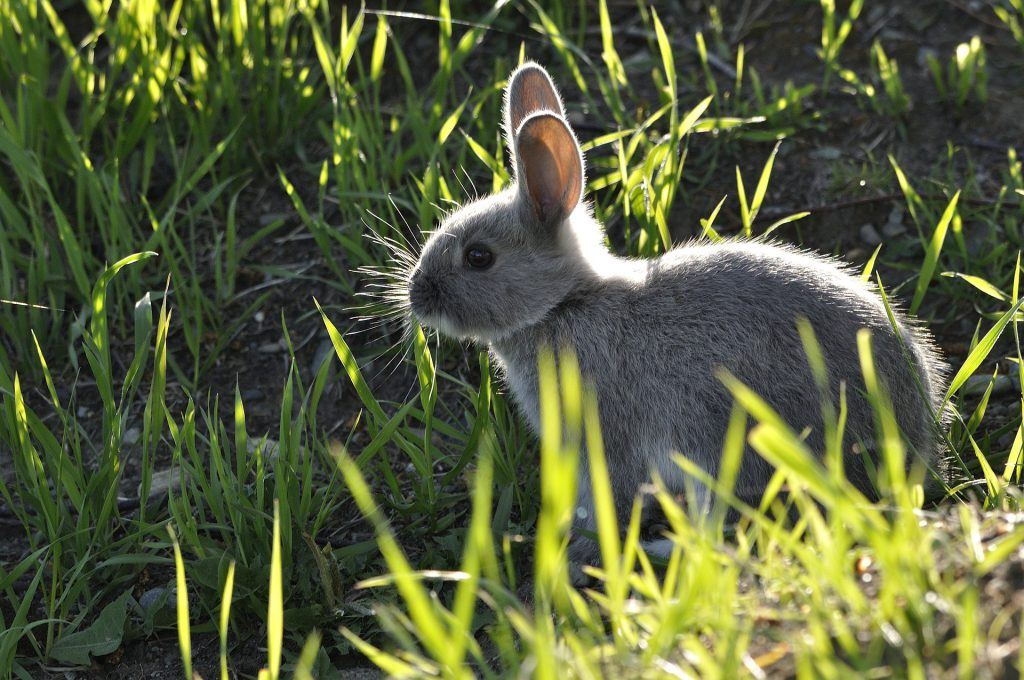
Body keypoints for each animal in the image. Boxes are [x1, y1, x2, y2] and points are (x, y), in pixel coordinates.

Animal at [403, 61, 948, 565]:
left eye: (478, 257)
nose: (416, 294)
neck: (563, 305)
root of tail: (912, 447)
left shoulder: (605, 438)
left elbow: (608, 500)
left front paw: (578, 555)